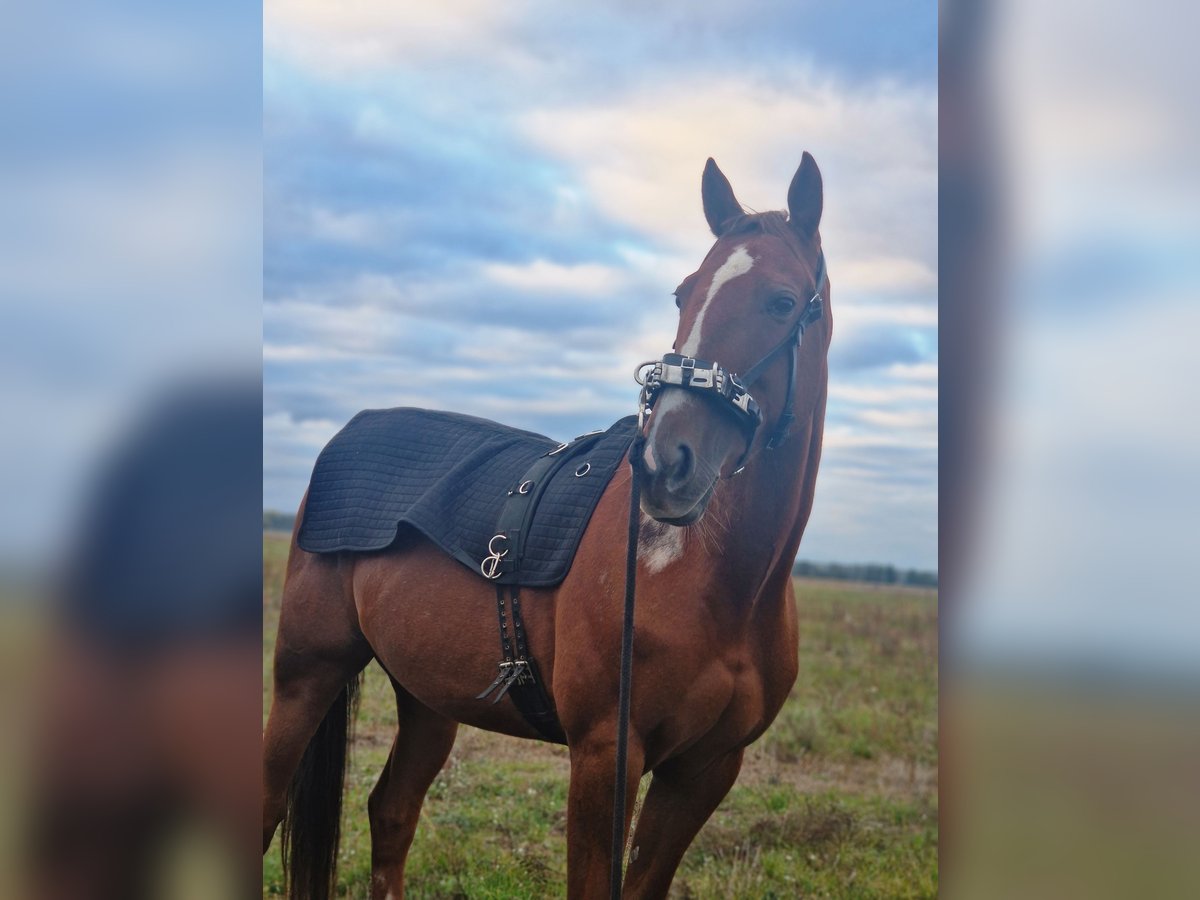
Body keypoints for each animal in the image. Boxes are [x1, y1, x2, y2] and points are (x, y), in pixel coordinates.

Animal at [262, 152, 832, 899]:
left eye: (782, 302)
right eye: (683, 295)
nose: (664, 465)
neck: (719, 584)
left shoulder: (703, 772)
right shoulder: (605, 756)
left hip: (426, 695)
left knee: (391, 810)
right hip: (307, 674)